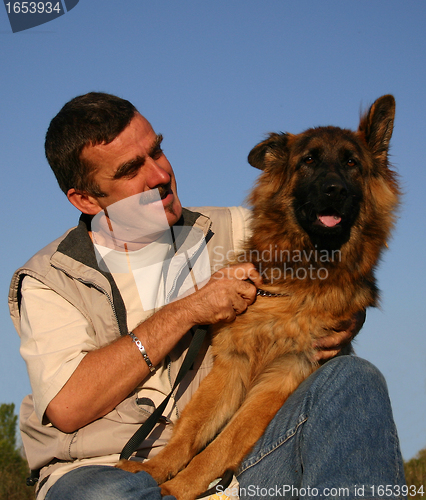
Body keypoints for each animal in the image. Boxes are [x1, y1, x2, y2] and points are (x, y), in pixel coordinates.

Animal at [119, 95, 400, 498]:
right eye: (309, 160)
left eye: (351, 163)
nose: (335, 190)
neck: (296, 281)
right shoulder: (232, 363)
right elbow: (190, 431)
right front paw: (154, 470)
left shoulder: (282, 376)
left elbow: (223, 443)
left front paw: (178, 488)